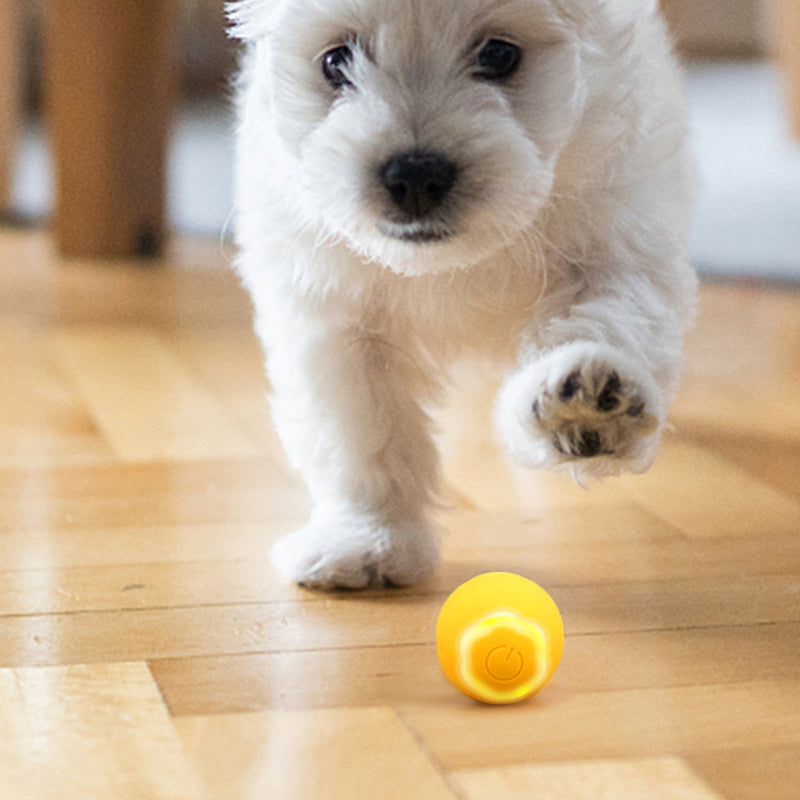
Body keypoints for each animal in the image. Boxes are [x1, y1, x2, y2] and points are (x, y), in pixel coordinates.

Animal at [225, 0, 692, 588]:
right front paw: (369, 540)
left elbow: (607, 321)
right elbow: (363, 431)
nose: (414, 175)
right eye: (336, 60)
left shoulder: (615, 246)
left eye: (499, 55)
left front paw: (587, 403)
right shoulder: (337, 317)